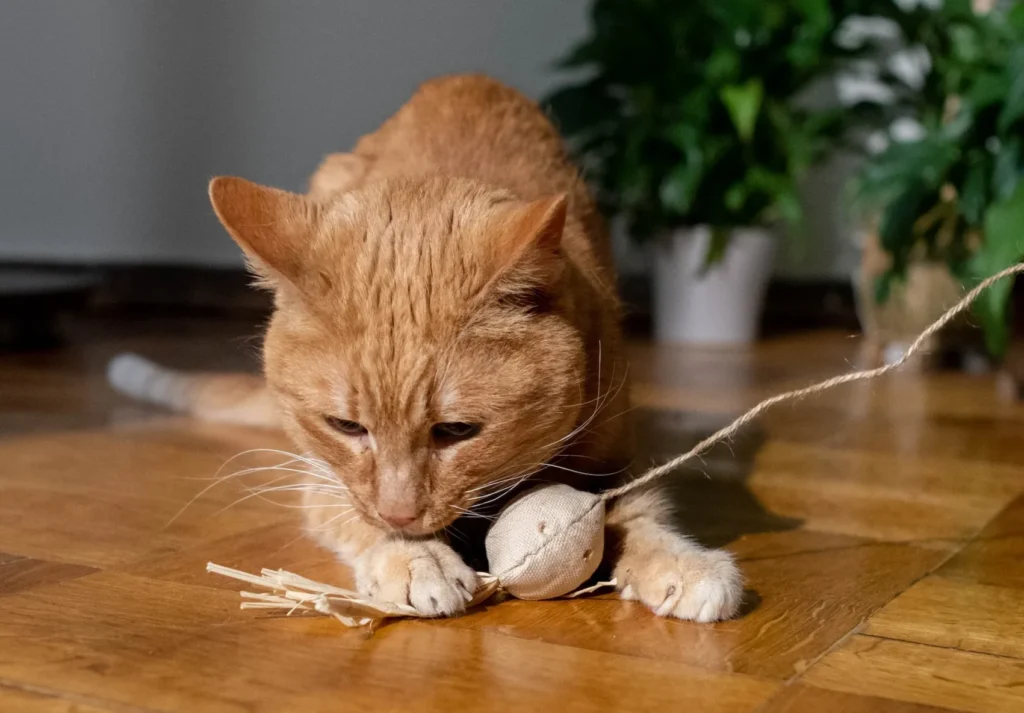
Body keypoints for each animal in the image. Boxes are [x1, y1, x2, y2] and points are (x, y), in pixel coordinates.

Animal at [108, 73, 741, 618]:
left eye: (457, 431)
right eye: (346, 426)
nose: (402, 512)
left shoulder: (616, 459)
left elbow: (641, 510)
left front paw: (680, 562)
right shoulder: (322, 479)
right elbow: (352, 514)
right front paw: (414, 560)